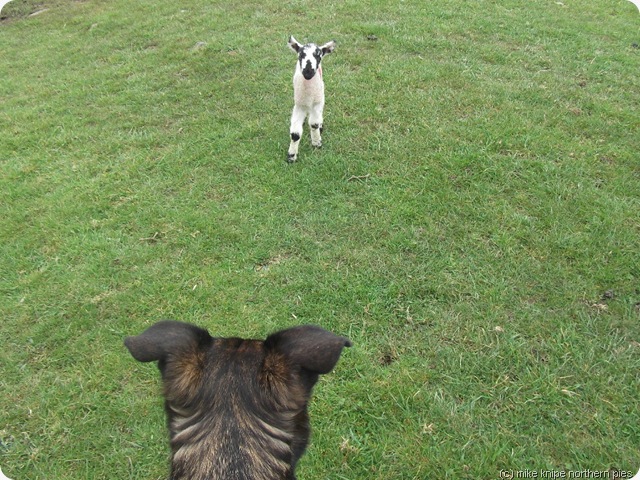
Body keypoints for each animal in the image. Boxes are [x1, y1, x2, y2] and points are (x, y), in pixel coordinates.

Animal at [284, 35, 336, 163]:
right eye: (300, 55)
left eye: (318, 56)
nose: (308, 71)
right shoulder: (299, 105)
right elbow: (295, 134)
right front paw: (291, 156)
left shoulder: (317, 103)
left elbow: (314, 124)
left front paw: (317, 143)